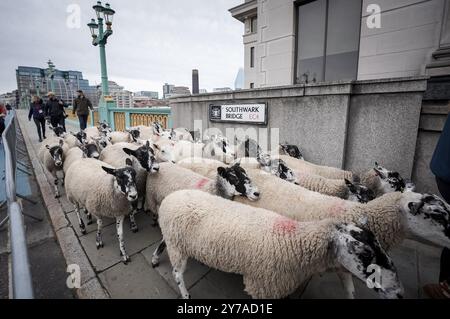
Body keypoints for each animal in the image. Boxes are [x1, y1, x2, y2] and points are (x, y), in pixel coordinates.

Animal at [156, 190, 402, 300]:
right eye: (365, 253)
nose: (399, 293)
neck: (294, 241)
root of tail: (171, 196)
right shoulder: (263, 285)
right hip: (177, 245)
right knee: (177, 273)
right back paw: (185, 294)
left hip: (173, 239)